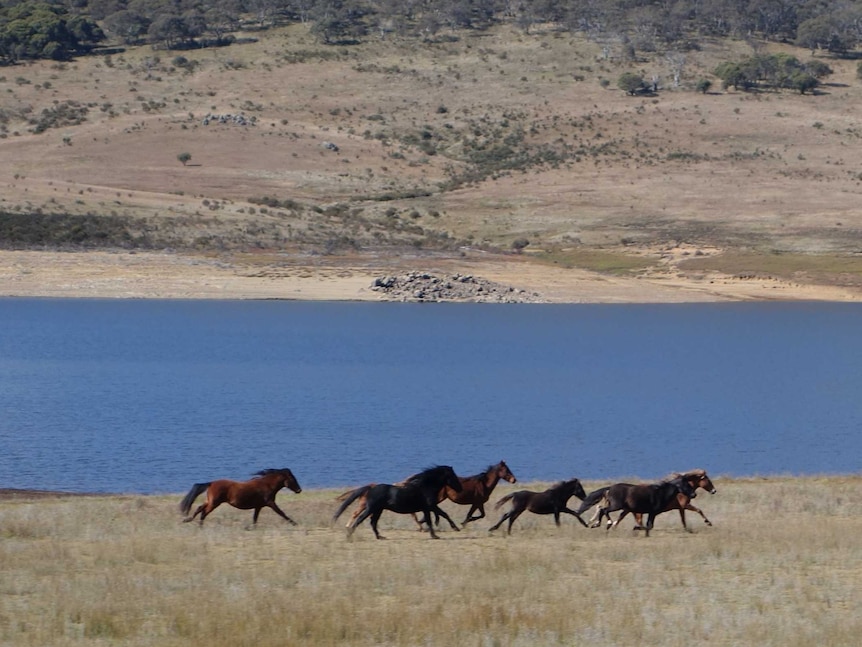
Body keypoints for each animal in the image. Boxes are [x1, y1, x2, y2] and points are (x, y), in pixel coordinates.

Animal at [332, 466, 466, 540]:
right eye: (453, 476)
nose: (460, 489)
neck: (425, 487)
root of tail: (370, 488)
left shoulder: (426, 508)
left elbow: (431, 520)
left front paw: (435, 535)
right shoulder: (430, 506)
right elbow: (442, 515)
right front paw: (454, 529)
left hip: (378, 510)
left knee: (373, 522)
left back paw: (380, 537)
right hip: (371, 508)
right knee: (360, 519)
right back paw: (349, 535)